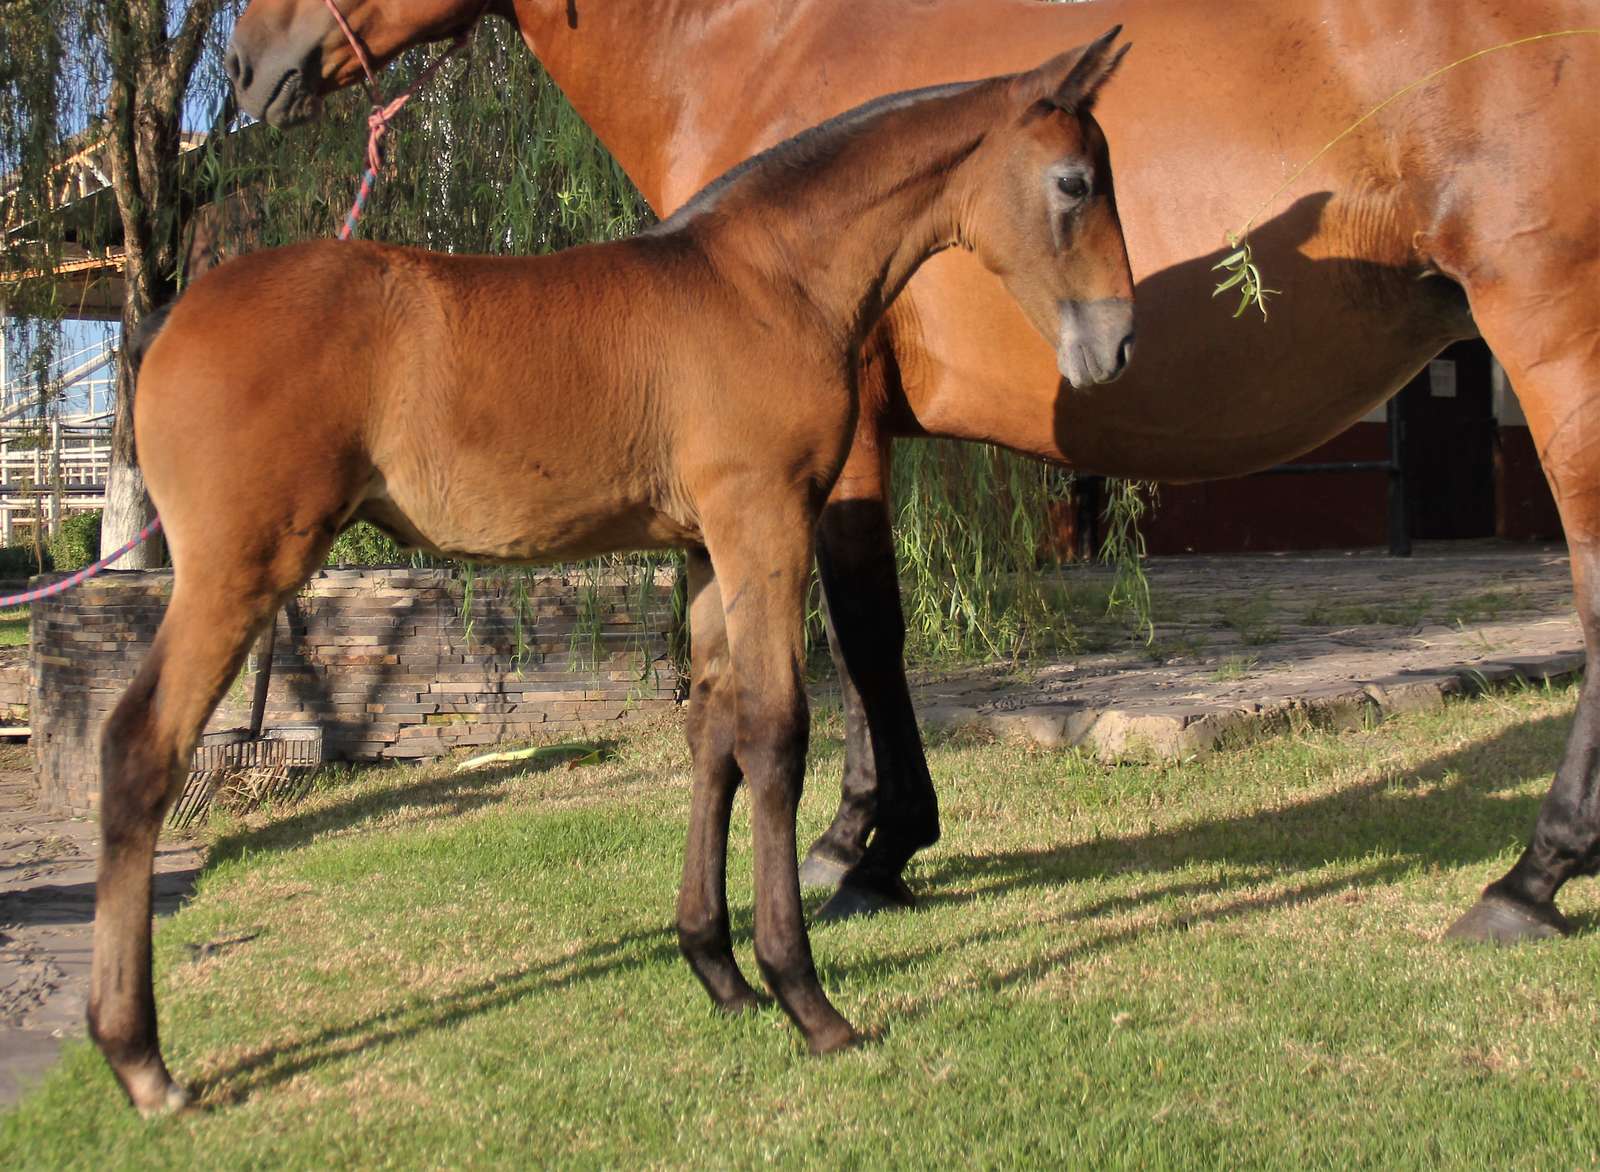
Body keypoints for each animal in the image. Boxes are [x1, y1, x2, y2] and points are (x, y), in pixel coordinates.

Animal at [89, 35, 1134, 1114]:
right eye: (1074, 181)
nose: (1116, 341)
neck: (767, 278)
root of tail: (171, 317)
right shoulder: (763, 520)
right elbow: (777, 735)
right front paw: (807, 999)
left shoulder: (705, 546)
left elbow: (713, 733)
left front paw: (718, 969)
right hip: (238, 568)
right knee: (139, 747)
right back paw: (142, 1060)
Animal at [228, 0, 1600, 942]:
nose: (245, 68)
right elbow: (861, 634)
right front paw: (880, 836)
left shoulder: (836, 443)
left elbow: (862, 633)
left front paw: (862, 847)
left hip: (1554, 340)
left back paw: (1530, 877)